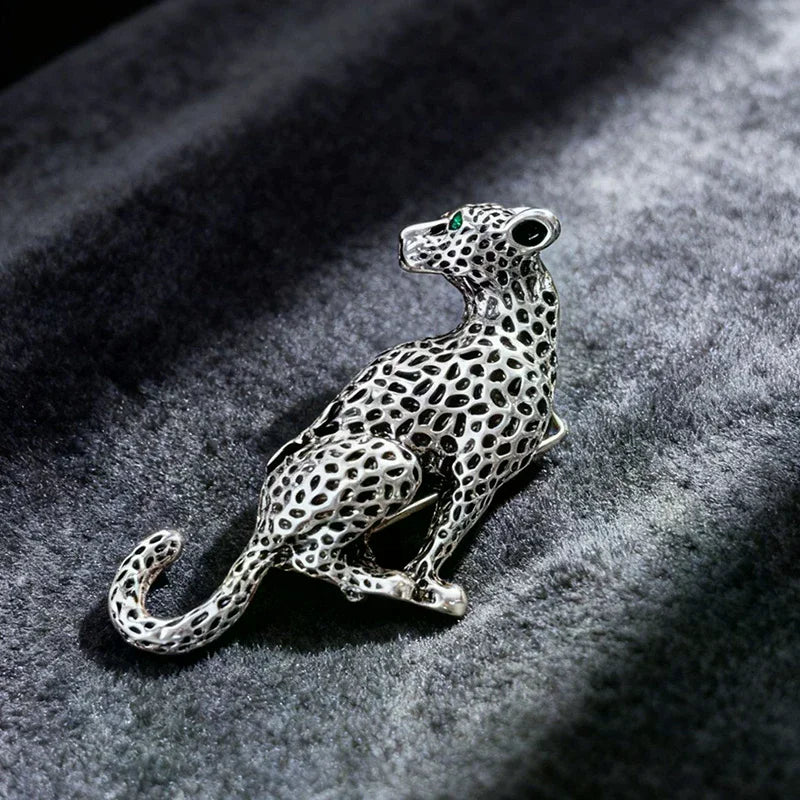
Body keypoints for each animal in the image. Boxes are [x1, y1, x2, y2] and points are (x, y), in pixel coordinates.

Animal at [108, 203, 566, 653]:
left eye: (454, 223)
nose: (404, 237)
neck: (507, 328)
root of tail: (263, 519)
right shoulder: (474, 479)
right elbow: (441, 539)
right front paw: (429, 590)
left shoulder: (472, 477)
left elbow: (441, 534)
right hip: (392, 459)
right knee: (310, 557)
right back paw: (390, 583)